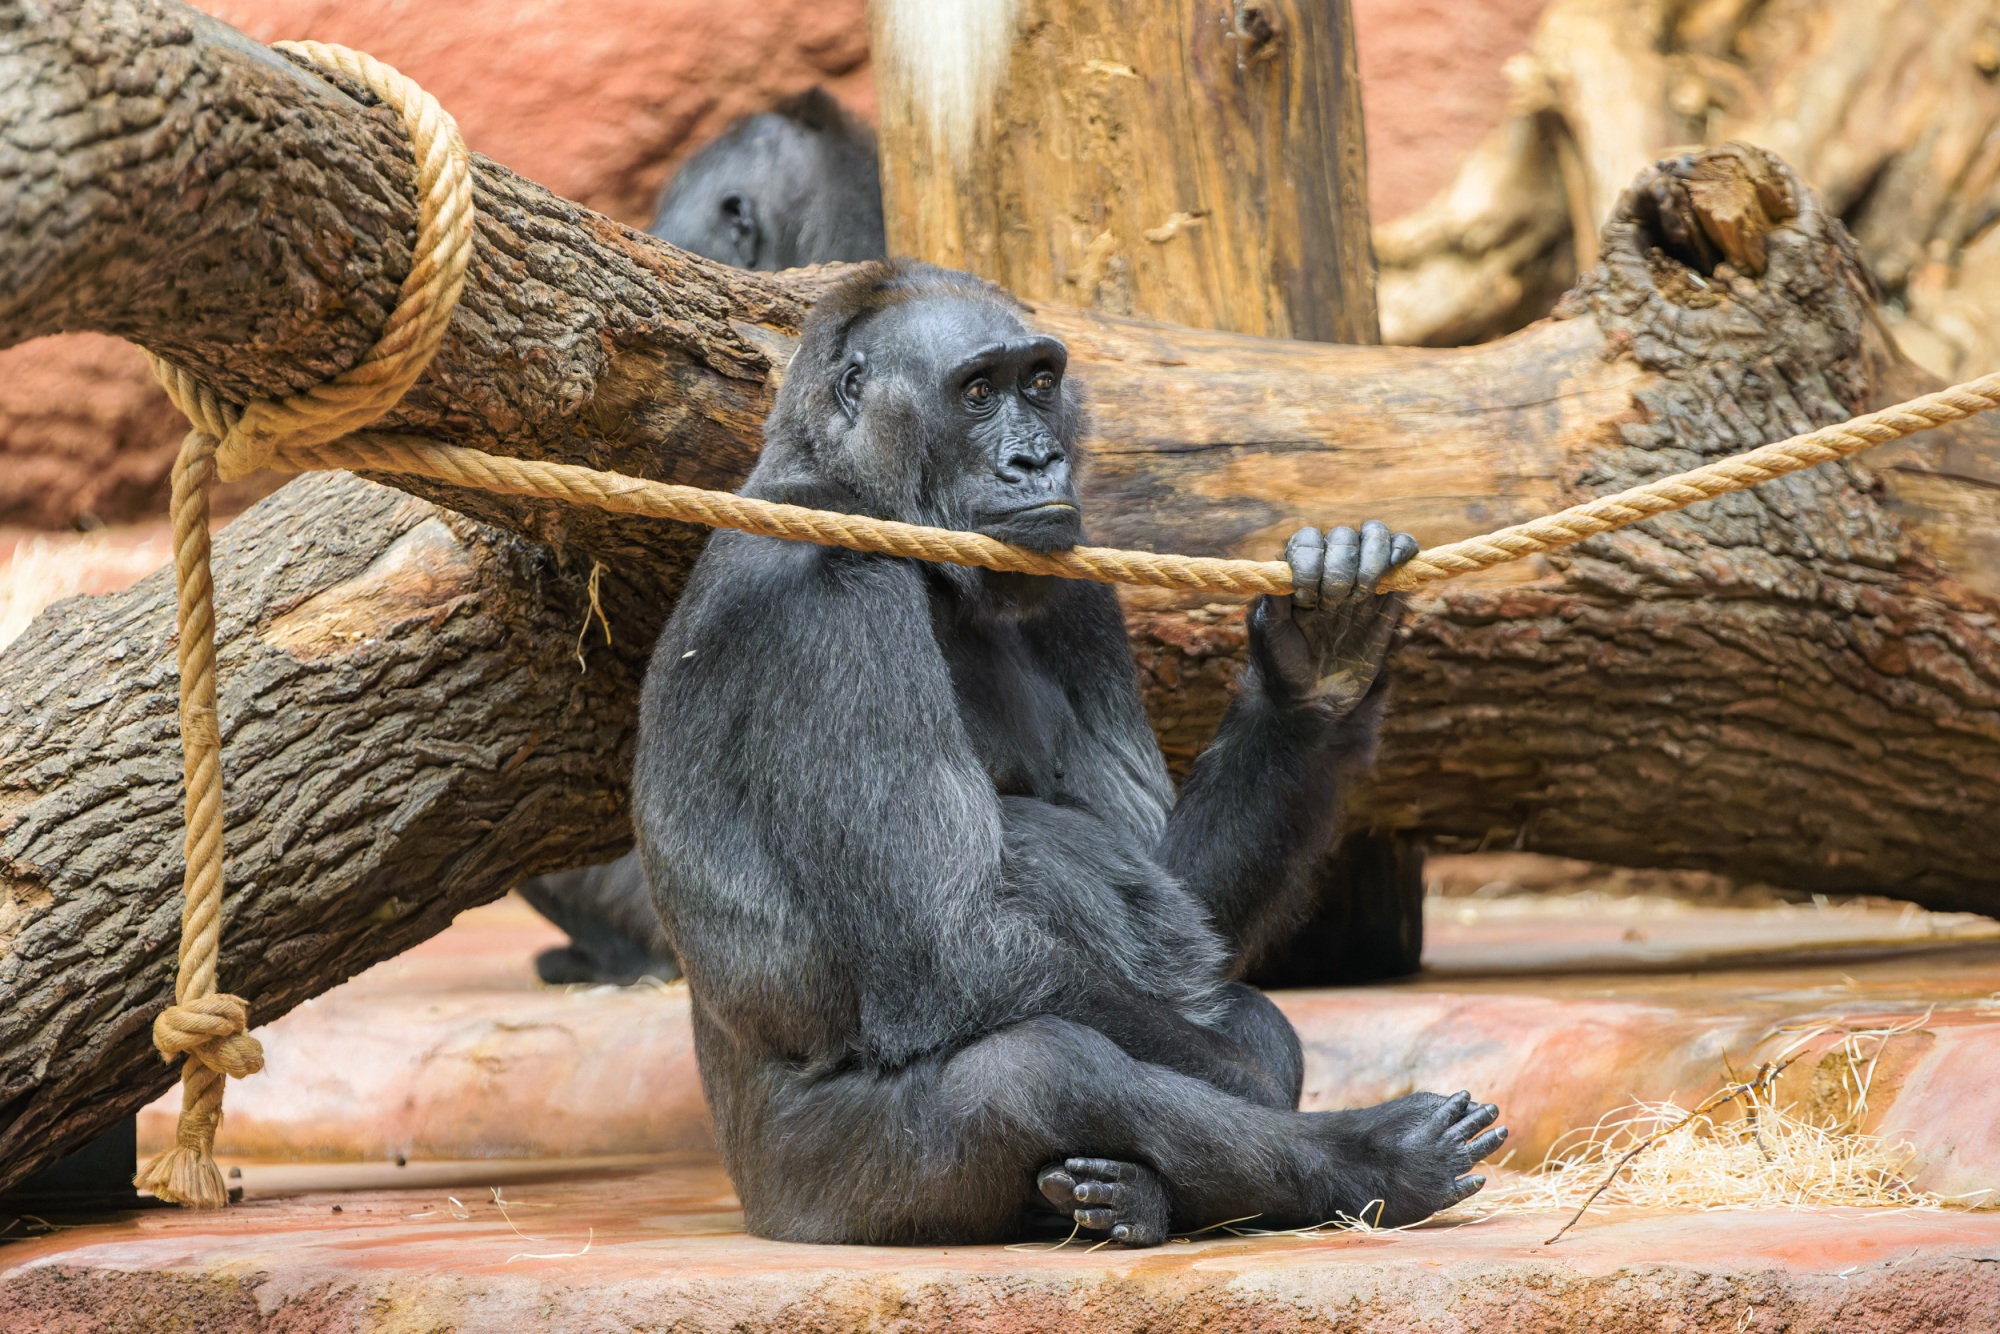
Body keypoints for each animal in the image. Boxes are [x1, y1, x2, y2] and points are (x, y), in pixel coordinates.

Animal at [632, 264, 1504, 1256]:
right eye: (978, 392)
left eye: (1040, 381)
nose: (1037, 462)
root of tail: (754, 1204)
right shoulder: (829, 580)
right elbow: (949, 946)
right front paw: (1269, 1094)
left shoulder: (1074, 581)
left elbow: (1181, 890)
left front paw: (1319, 667)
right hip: (815, 1197)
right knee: (1042, 1068)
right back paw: (1370, 1160)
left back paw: (1128, 1197)